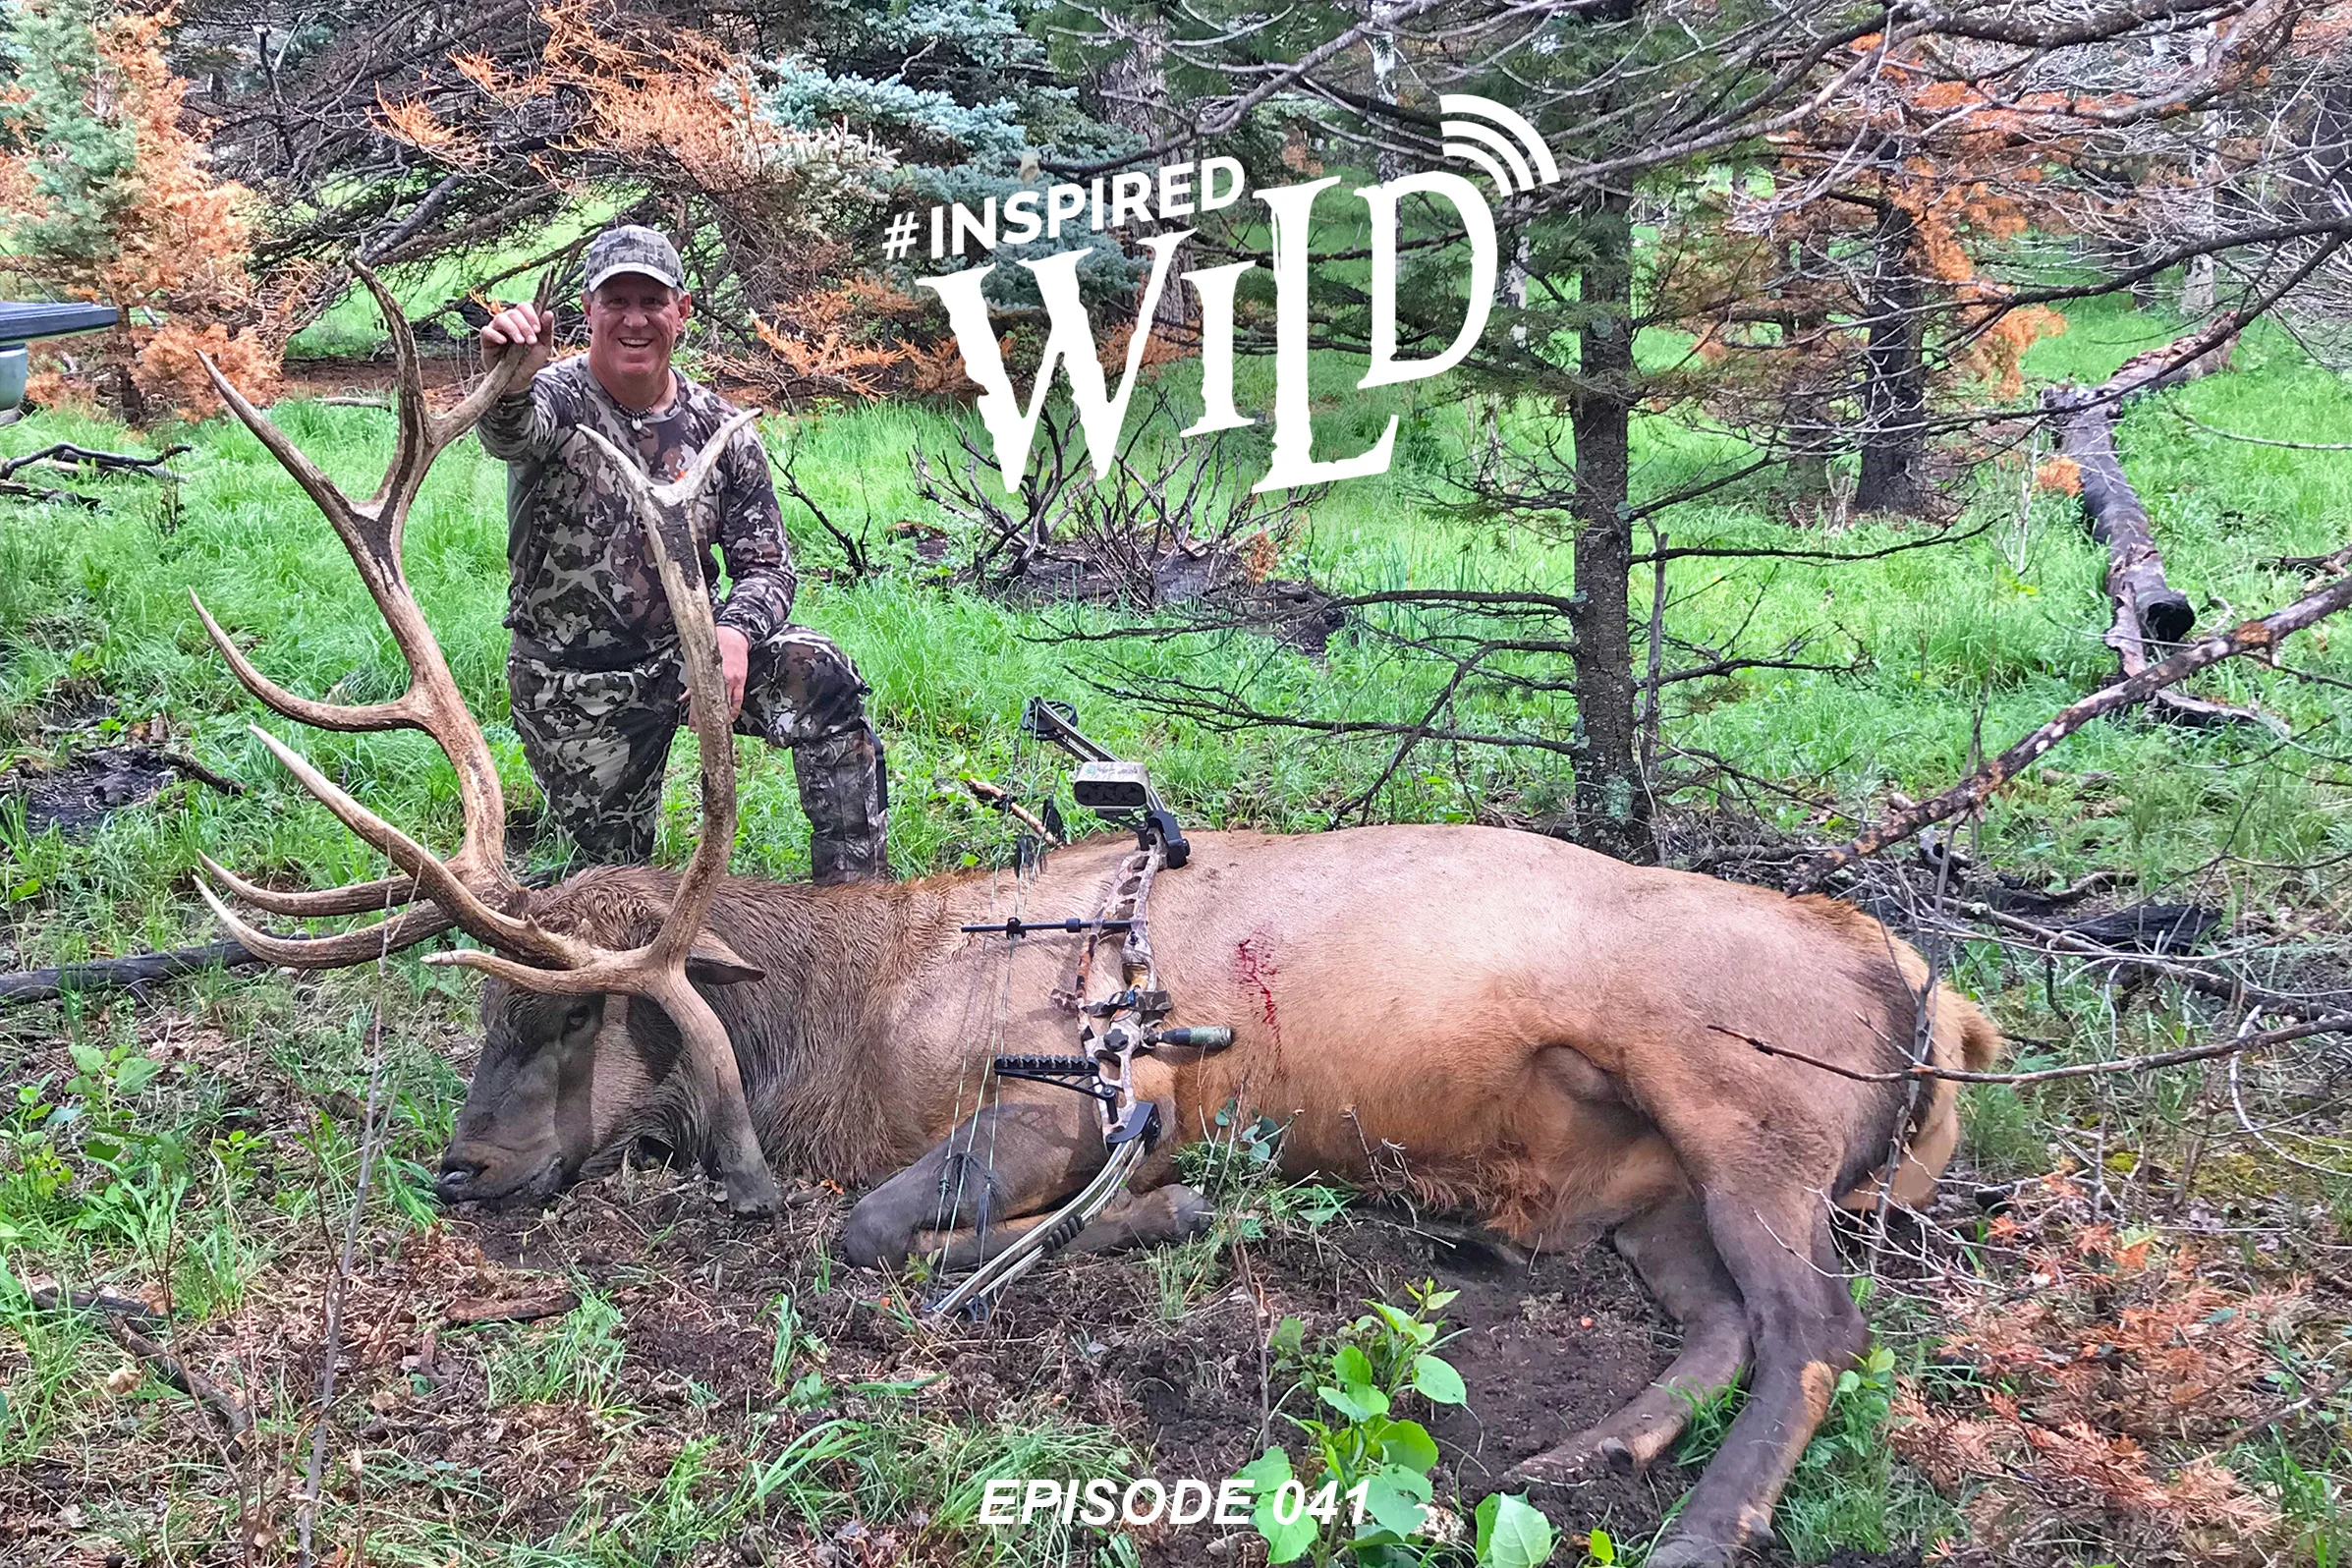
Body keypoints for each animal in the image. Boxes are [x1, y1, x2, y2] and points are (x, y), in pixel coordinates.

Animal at [187, 275, 2000, 1568]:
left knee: (1817, 1324)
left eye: (577, 1009)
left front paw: (1150, 1217)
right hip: (1648, 1185)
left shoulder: (1073, 1093)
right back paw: (1583, 1445)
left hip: (1742, 1098)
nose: (461, 1169)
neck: (840, 1034)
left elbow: (864, 1235)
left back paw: (1696, 1524)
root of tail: (1927, 990)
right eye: (483, 1008)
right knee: (1718, 1316)